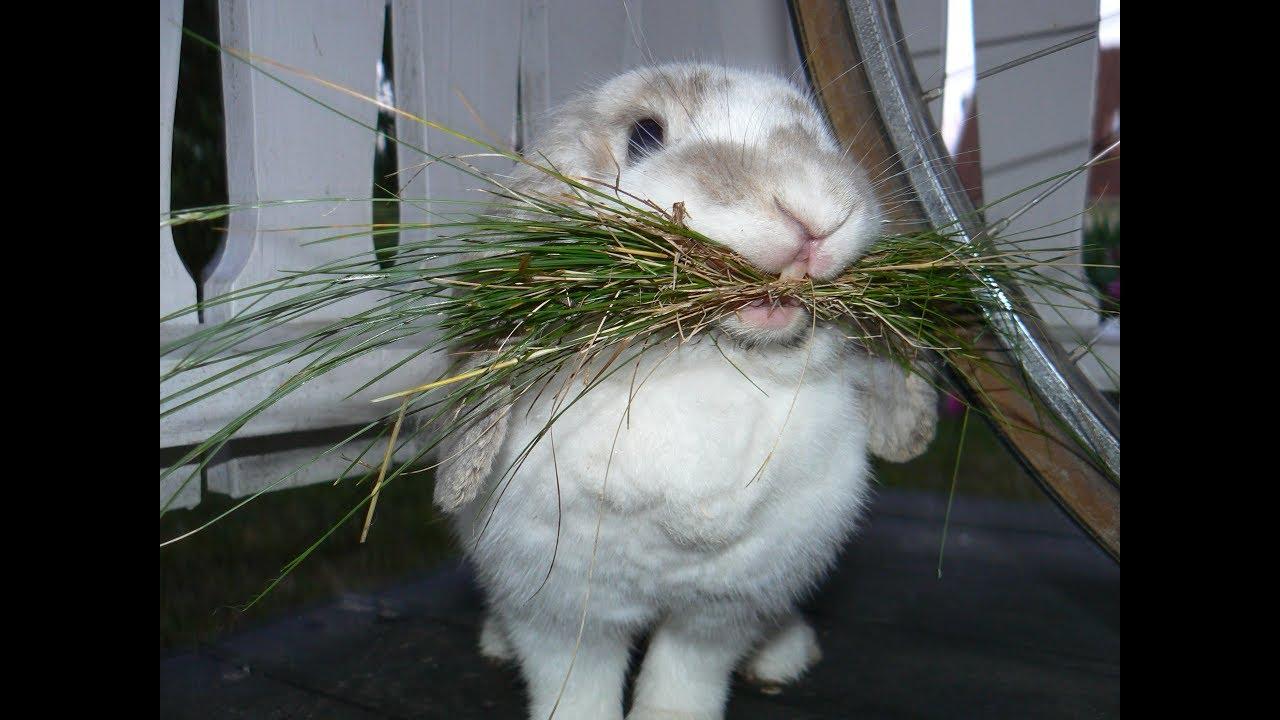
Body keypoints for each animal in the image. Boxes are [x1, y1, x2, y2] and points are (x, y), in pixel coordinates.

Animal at [432, 63, 942, 717]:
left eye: (820, 130)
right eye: (645, 134)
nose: (819, 209)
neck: (702, 367)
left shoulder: (720, 610)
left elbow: (685, 677)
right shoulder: (558, 607)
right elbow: (575, 682)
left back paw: (784, 655)